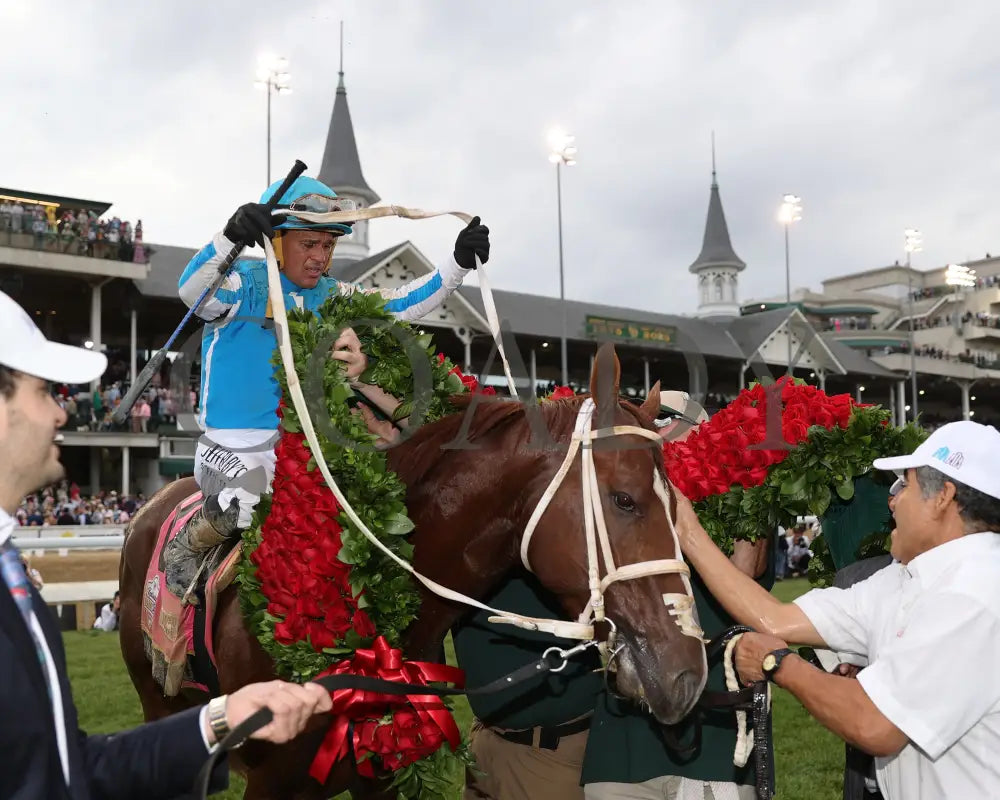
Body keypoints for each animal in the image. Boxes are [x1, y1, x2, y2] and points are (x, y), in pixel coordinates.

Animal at [121, 350, 708, 800]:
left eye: (678, 509)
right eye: (625, 499)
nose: (687, 675)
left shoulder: (379, 772)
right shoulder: (272, 782)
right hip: (157, 707)